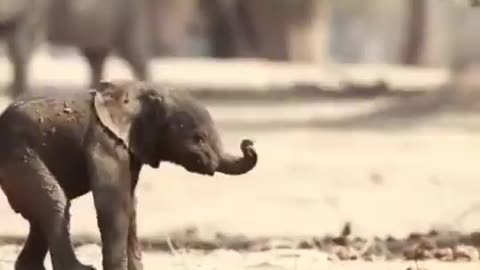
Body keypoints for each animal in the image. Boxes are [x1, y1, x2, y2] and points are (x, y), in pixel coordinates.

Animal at [0, 79, 258, 270]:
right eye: (199, 138)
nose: (249, 143)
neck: (140, 92)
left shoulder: (132, 148)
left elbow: (130, 205)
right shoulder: (104, 140)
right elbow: (114, 203)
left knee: (43, 212)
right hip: (19, 157)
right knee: (55, 203)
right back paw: (81, 269)